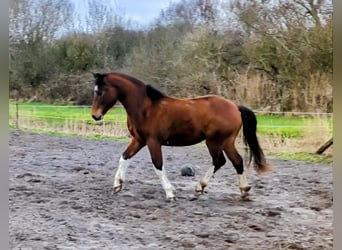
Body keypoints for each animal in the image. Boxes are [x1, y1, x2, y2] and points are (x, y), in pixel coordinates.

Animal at [91, 72, 272, 201]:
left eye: (100, 92)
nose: (95, 116)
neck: (145, 108)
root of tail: (235, 107)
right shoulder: (139, 140)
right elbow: (124, 157)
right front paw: (117, 185)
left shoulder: (153, 142)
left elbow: (158, 165)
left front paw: (170, 193)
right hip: (225, 142)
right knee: (235, 161)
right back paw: (241, 190)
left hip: (215, 142)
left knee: (221, 161)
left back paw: (203, 187)